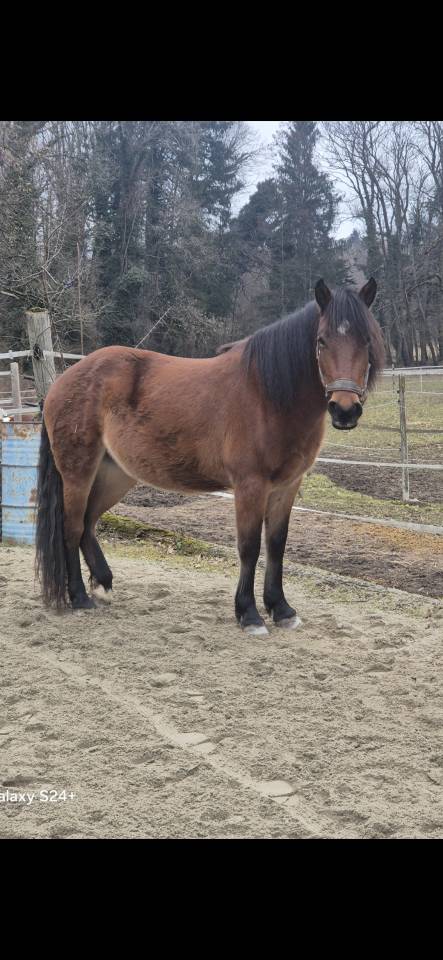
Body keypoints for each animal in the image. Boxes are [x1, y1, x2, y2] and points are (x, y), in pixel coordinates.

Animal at [36, 278, 385, 634]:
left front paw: (282, 609)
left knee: (89, 522)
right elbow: (249, 548)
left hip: (115, 473)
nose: (345, 410)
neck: (267, 396)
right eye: (321, 341)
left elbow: (276, 545)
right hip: (78, 473)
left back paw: (103, 582)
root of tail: (62, 382)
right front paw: (249, 613)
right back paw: (79, 597)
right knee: (72, 527)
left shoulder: (287, 486)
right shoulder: (250, 486)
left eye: (367, 339)